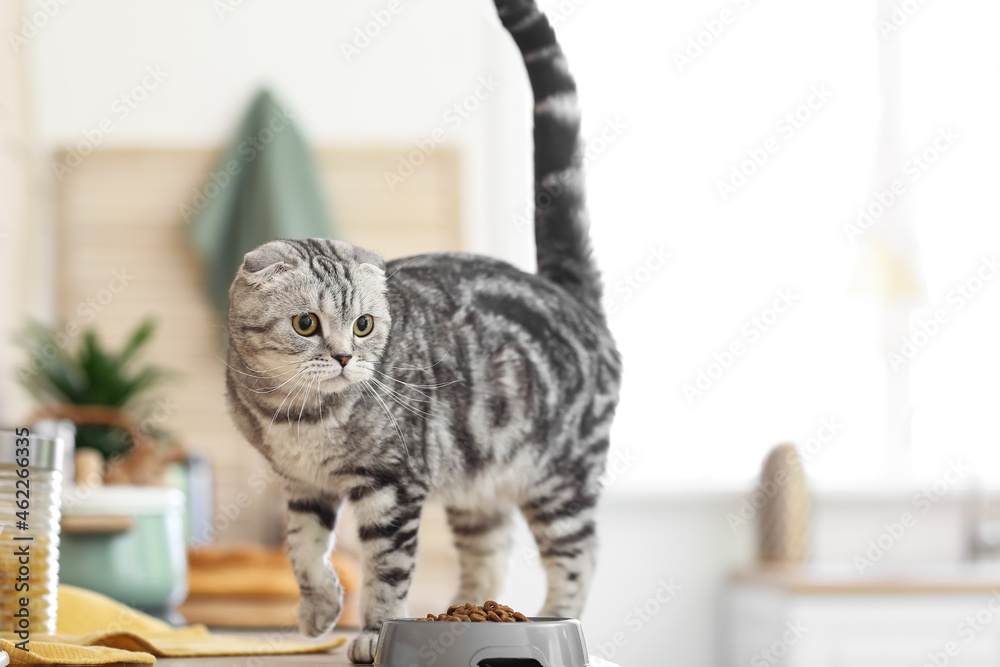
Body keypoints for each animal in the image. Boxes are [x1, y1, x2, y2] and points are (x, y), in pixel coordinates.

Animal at [225, 0, 616, 660]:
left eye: (363, 325)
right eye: (307, 324)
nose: (343, 357)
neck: (298, 417)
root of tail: (566, 292)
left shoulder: (393, 485)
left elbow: (386, 571)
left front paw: (374, 632)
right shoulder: (301, 485)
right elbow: (302, 550)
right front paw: (318, 610)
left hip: (560, 478)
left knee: (582, 558)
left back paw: (556, 620)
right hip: (479, 488)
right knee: (489, 560)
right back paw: (468, 614)